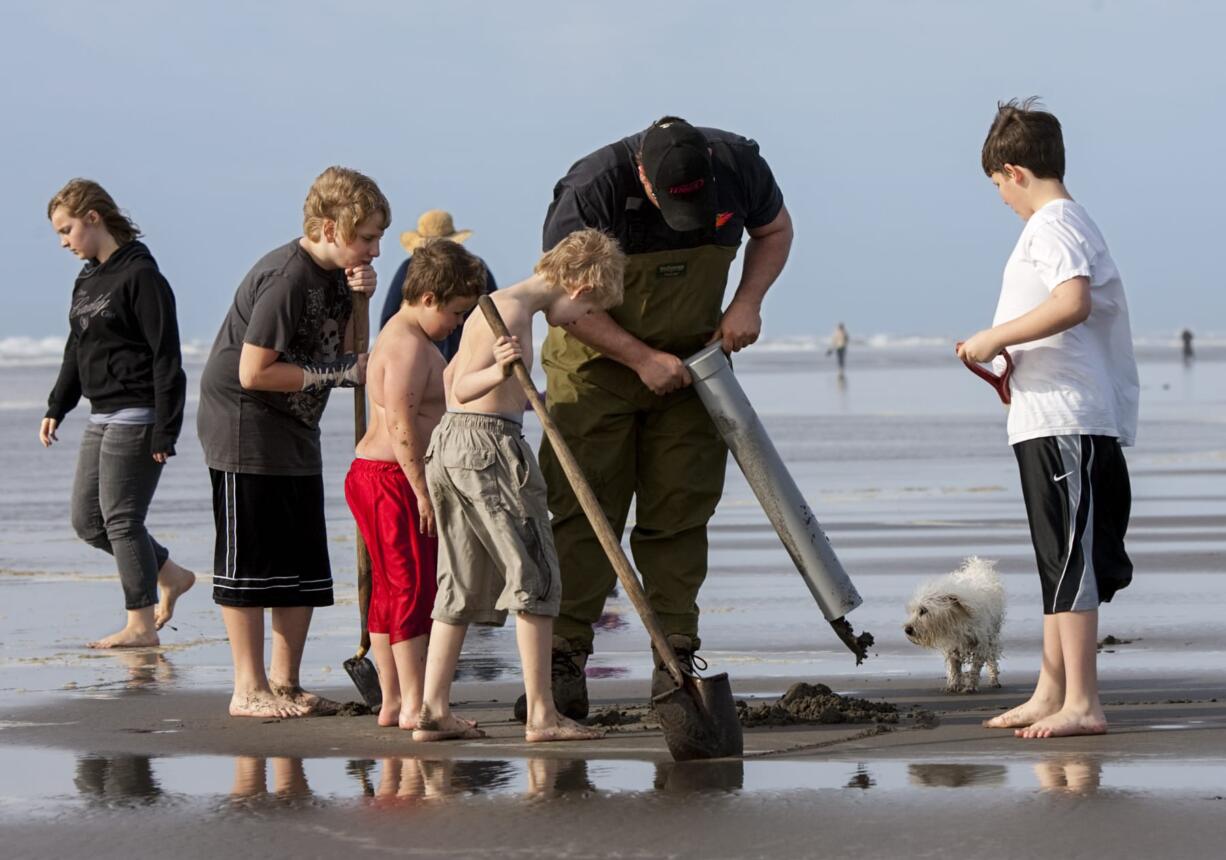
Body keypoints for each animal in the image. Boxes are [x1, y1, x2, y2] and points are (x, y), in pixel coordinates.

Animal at [902, 556, 1005, 691]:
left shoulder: (981, 643)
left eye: (923, 610)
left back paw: (994, 680)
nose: (907, 630)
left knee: (992, 658)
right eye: (913, 611)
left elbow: (975, 667)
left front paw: (971, 686)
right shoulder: (953, 645)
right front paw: (954, 685)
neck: (957, 619)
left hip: (992, 635)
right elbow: (954, 667)